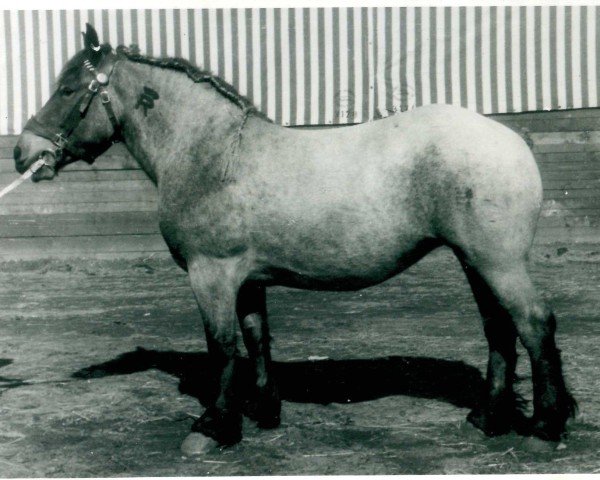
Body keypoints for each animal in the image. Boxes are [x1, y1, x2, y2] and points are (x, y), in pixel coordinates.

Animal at [14, 25, 576, 454]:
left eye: (69, 90)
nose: (24, 153)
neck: (213, 153)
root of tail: (509, 139)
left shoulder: (211, 274)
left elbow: (221, 346)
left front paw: (212, 428)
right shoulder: (245, 279)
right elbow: (256, 338)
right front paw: (263, 412)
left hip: (497, 262)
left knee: (534, 324)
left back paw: (544, 429)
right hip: (472, 260)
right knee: (499, 330)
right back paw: (487, 419)